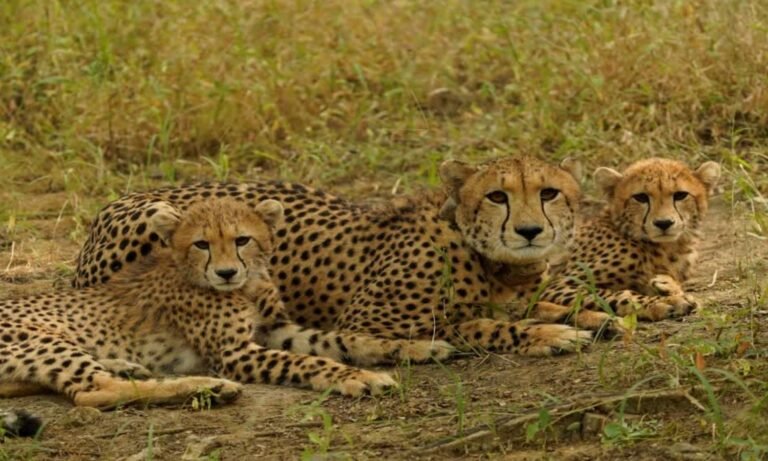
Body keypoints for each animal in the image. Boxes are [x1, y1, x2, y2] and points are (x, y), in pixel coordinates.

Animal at [0, 197, 457, 410]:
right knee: (91, 392)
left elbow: (346, 339)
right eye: (201, 244)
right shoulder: (233, 352)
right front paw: (359, 378)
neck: (247, 285)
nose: (225, 273)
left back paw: (128, 365)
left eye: (242, 239)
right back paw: (208, 388)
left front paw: (417, 347)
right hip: (43, 340)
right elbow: (309, 362)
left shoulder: (276, 328)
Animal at [73, 156, 593, 356]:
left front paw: (589, 314)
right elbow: (473, 324)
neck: (498, 265)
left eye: (548, 193)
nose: (529, 231)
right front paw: (547, 334)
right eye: (497, 197)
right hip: (153, 221)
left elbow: (551, 303)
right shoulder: (367, 321)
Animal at [506, 158, 721, 330]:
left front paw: (667, 286)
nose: (664, 223)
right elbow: (612, 294)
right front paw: (662, 302)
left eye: (680, 195)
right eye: (640, 197)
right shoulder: (554, 285)